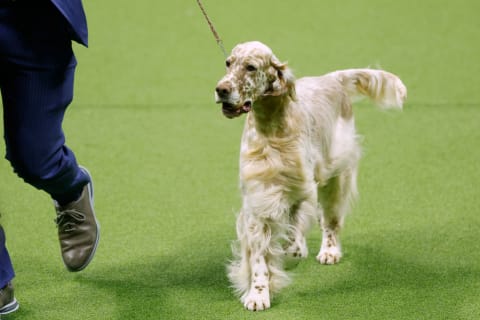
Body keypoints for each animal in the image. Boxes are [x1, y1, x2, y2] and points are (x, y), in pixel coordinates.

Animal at [216, 40, 406, 310]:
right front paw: (258, 294)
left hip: (335, 176)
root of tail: (332, 79)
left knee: (331, 221)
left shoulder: (302, 190)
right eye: (228, 63)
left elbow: (293, 243)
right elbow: (260, 258)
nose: (221, 90)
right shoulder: (258, 201)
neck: (271, 130)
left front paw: (290, 257)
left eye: (251, 67)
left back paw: (329, 251)